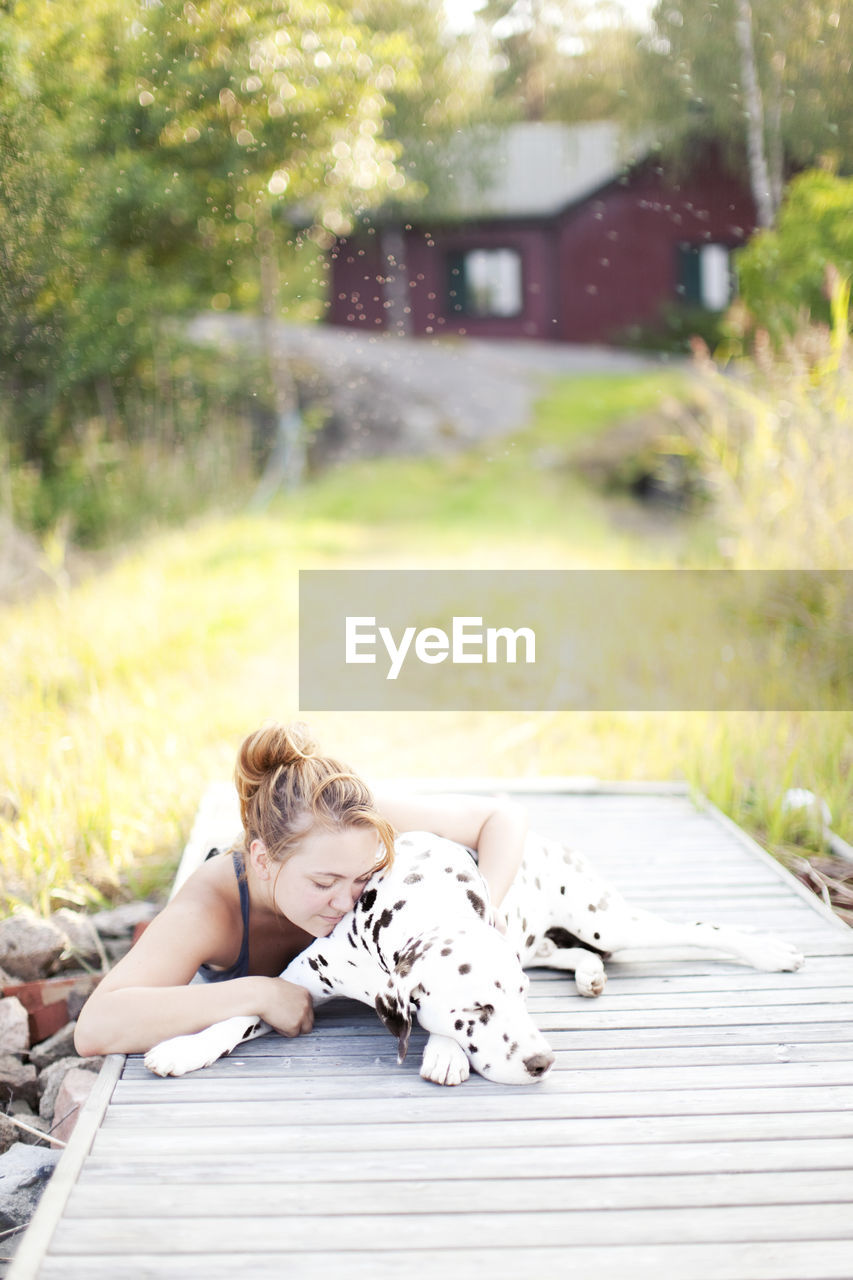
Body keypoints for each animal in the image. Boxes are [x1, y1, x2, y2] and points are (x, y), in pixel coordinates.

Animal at [142, 829, 799, 1090]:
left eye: (521, 1002)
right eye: (479, 1006)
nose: (542, 1062)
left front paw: (444, 1051)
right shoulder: (299, 982)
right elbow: (236, 1015)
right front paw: (182, 1048)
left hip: (606, 921)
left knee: (697, 927)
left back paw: (770, 949)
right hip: (549, 936)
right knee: (561, 951)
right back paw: (588, 972)